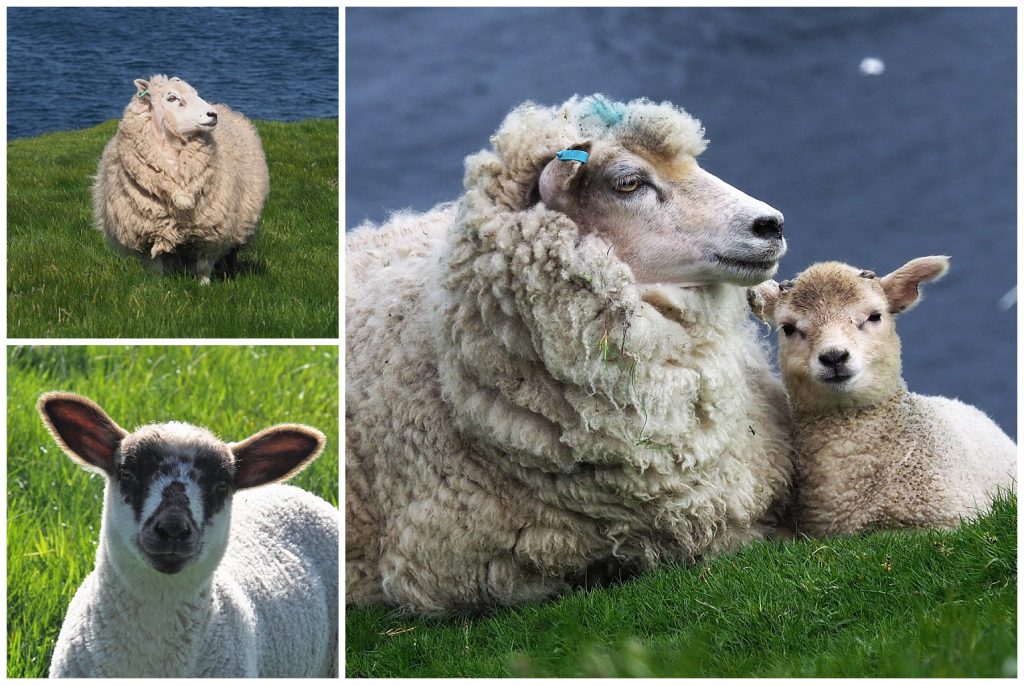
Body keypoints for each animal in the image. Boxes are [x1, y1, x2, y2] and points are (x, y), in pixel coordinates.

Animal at [92, 76, 270, 284]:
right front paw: (157, 286)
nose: (212, 114)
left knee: (232, 252)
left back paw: (231, 273)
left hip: (240, 219)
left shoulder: (210, 231)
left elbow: (204, 266)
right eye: (172, 98)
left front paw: (204, 286)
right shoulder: (149, 232)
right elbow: (156, 267)